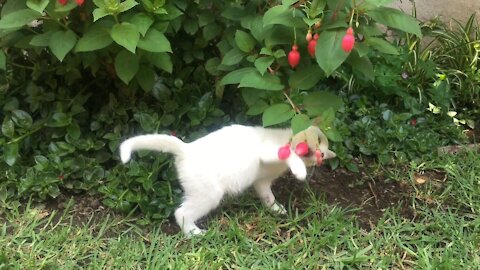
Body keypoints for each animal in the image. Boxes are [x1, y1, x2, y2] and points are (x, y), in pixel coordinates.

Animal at [120, 124, 336, 234]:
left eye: (323, 152)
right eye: (317, 142)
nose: (318, 155)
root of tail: (186, 149)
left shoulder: (262, 181)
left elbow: (267, 196)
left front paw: (276, 209)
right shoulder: (268, 152)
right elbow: (289, 154)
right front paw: (299, 170)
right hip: (209, 195)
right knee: (181, 213)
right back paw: (194, 233)